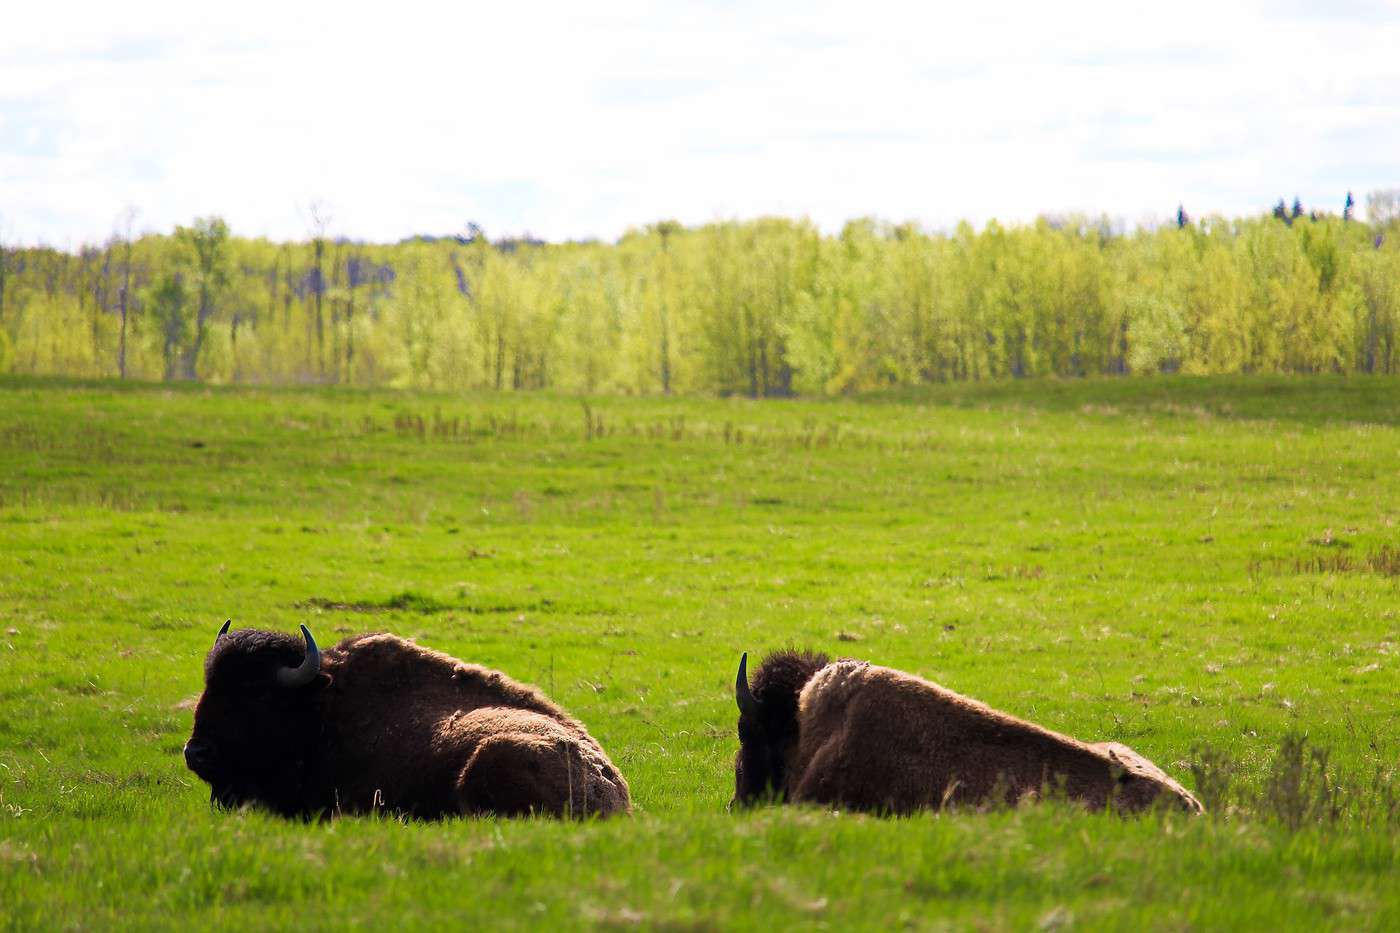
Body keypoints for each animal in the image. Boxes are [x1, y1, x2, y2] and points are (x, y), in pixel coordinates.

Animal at [184, 622, 630, 818]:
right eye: (208, 685)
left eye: (258, 693)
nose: (196, 752)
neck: (323, 706)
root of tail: (615, 793)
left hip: (495, 753)